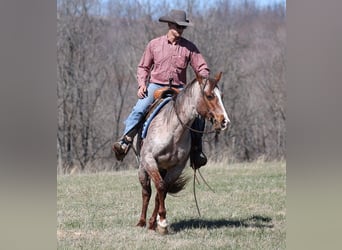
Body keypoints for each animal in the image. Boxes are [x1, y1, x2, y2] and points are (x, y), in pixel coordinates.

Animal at [135, 72, 228, 234]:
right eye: (209, 96)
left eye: (221, 95)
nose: (224, 121)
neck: (173, 130)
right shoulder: (149, 160)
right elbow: (159, 187)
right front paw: (162, 221)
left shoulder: (176, 168)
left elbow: (162, 191)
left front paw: (158, 222)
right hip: (143, 167)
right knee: (146, 192)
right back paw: (141, 222)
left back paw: (151, 223)